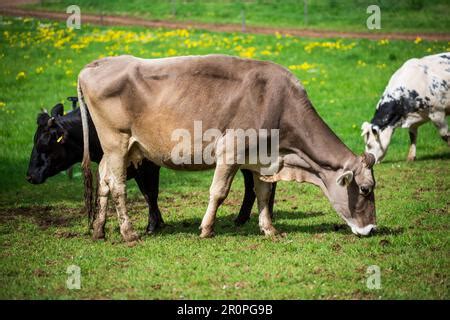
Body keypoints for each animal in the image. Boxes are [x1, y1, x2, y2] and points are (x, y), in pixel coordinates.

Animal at [27, 100, 278, 232]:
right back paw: (247, 217)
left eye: (44, 144)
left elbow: (150, 193)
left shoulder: (146, 165)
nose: (29, 176)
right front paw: (157, 222)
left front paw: (152, 225)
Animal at [79, 53, 378, 241]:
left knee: (104, 182)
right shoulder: (230, 151)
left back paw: (99, 230)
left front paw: (269, 229)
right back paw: (128, 233)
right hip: (117, 142)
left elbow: (263, 193)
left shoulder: (261, 158)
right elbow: (219, 192)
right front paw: (206, 229)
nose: (373, 229)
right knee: (117, 186)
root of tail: (96, 64)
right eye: (365, 189)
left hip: (120, 149)